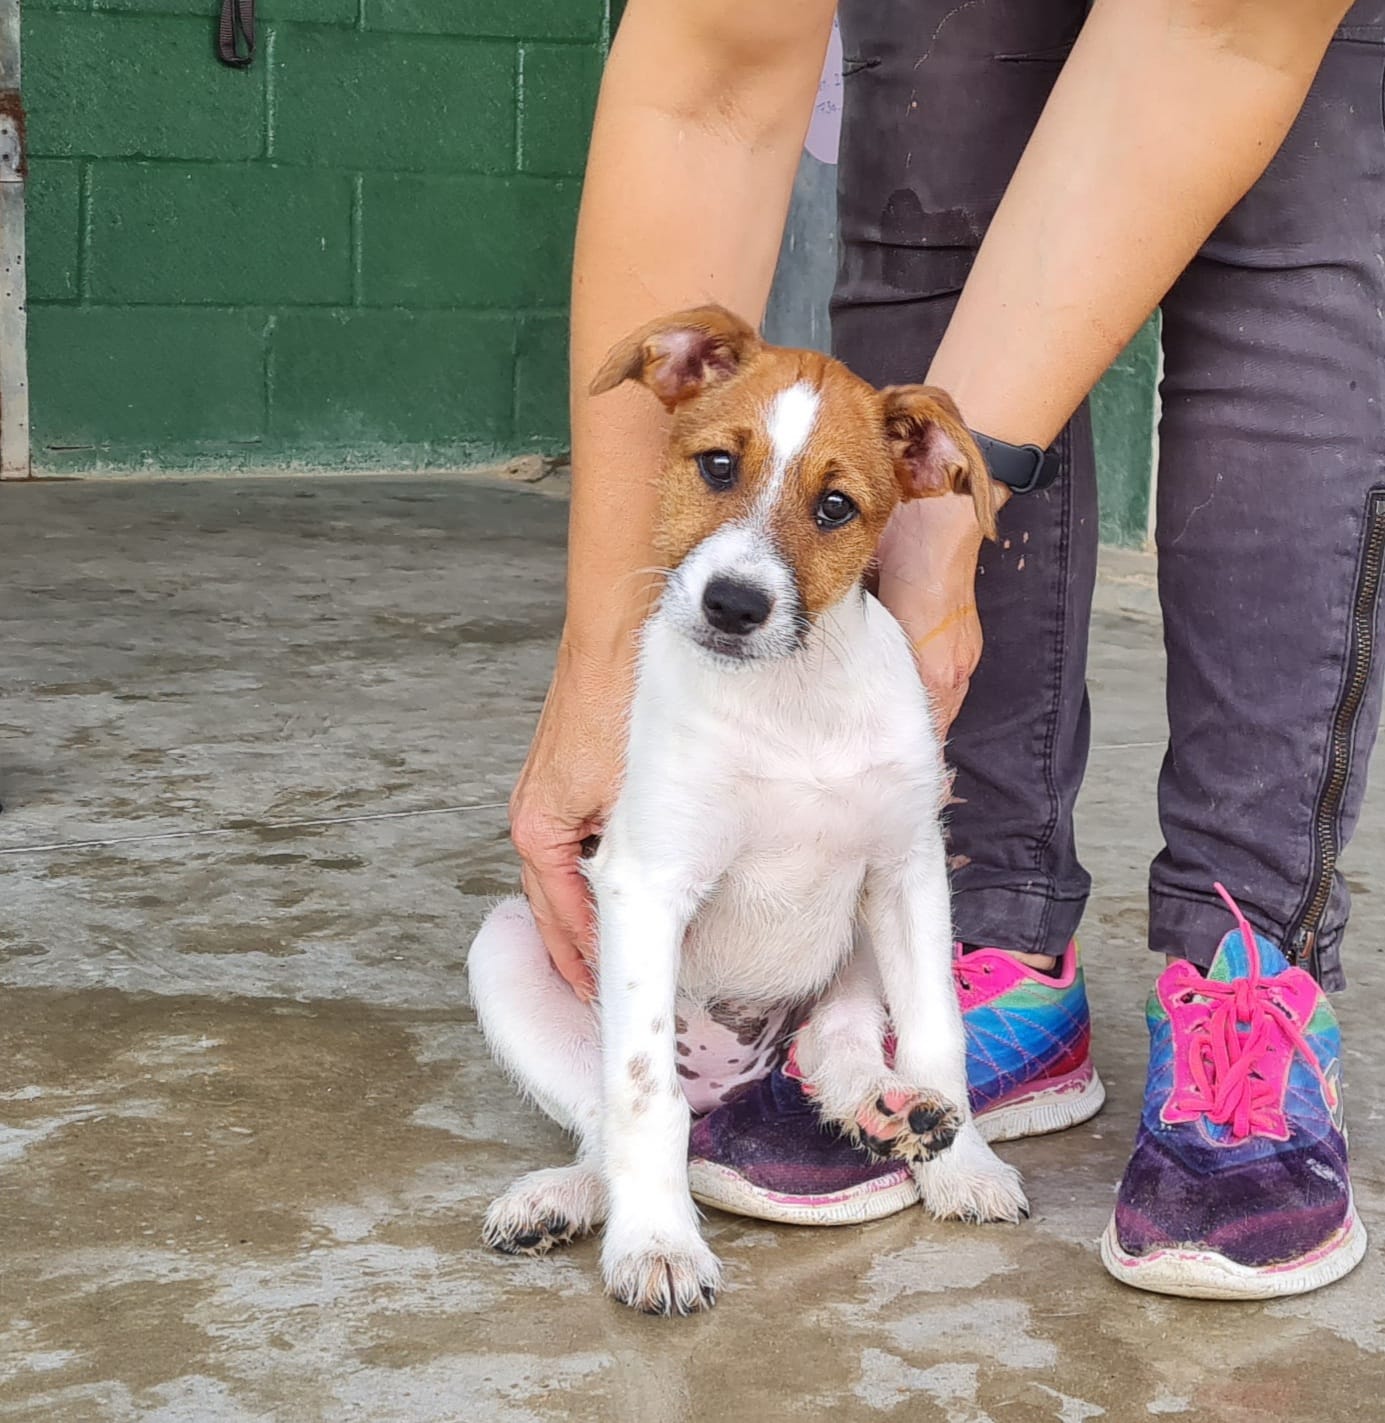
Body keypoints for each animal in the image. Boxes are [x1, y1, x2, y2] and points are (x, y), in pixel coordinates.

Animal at [467, 306, 1028, 1315]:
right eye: (718, 466)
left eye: (835, 507)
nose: (733, 604)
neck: (790, 697)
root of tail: (731, 1093)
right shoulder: (645, 882)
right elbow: (642, 1092)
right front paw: (655, 1244)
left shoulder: (908, 869)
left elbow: (937, 1034)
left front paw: (963, 1162)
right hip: (508, 943)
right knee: (609, 1117)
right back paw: (565, 1197)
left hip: (853, 950)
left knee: (836, 1045)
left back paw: (889, 1110)